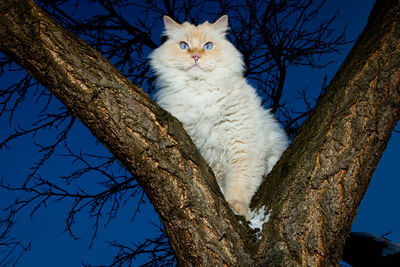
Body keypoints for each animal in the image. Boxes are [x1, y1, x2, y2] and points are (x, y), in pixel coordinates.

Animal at [150, 15, 288, 220]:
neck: (200, 92)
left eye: (208, 46)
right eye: (184, 45)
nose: (195, 56)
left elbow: (240, 184)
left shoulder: (242, 145)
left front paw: (237, 207)